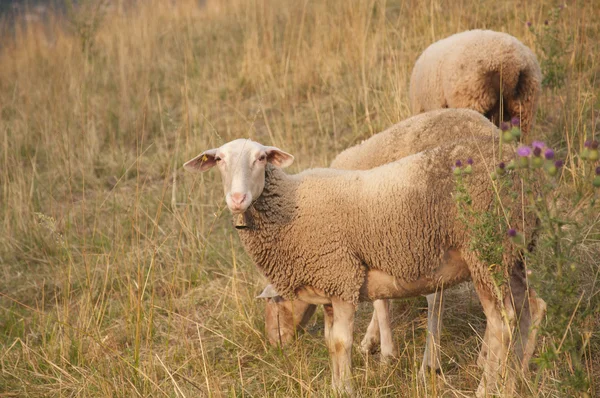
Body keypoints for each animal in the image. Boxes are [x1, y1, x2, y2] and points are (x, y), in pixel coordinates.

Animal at [184, 130, 544, 394]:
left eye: (261, 158)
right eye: (218, 160)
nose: (237, 199)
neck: (291, 206)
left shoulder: (342, 275)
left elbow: (341, 342)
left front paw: (345, 388)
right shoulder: (328, 287)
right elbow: (330, 343)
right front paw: (335, 386)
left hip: (486, 251)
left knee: (502, 323)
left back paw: (488, 387)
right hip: (514, 252)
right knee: (532, 307)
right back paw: (517, 379)